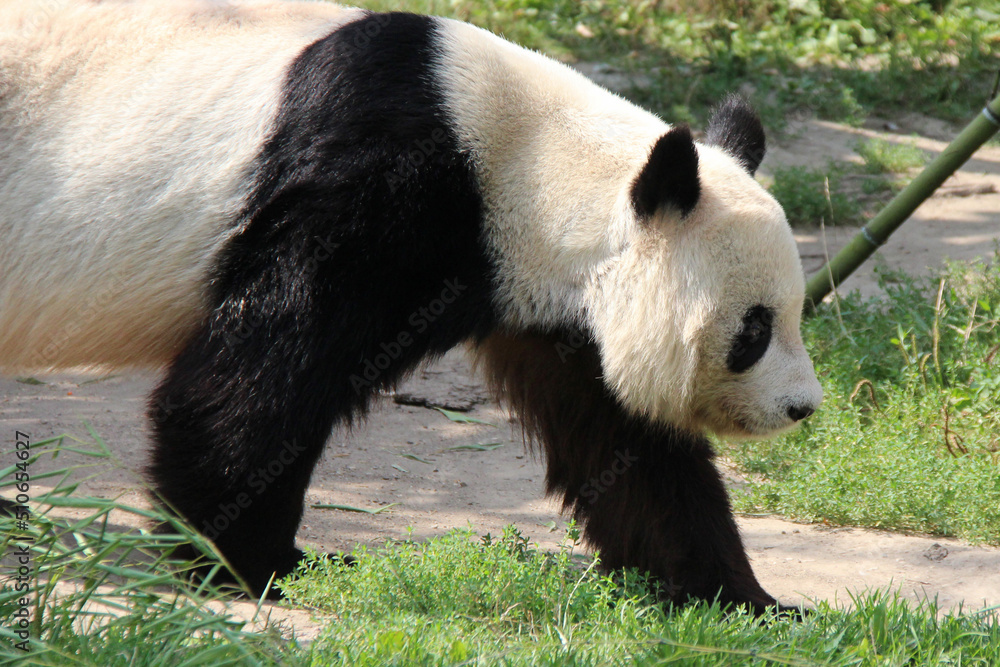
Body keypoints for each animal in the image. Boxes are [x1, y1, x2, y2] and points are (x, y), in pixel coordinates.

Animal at [0, 0, 822, 613]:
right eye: (754, 329)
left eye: (793, 315)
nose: (802, 408)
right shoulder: (373, 187)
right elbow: (255, 381)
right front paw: (245, 561)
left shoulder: (553, 305)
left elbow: (628, 444)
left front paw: (746, 600)